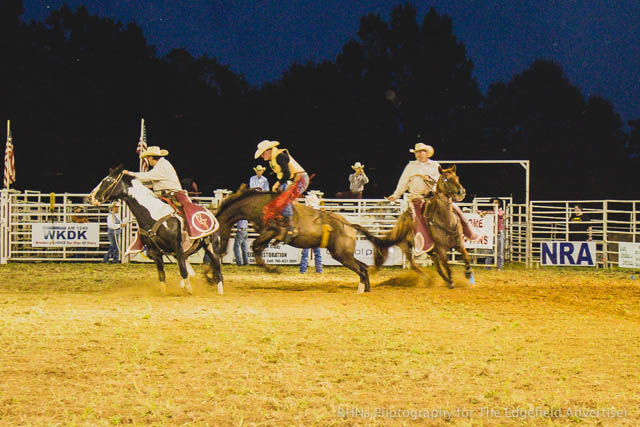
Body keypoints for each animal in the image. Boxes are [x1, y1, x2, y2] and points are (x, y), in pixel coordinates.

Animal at [87, 166, 222, 294]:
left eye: (107, 180)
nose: (90, 197)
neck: (153, 213)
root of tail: (211, 212)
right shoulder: (155, 251)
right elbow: (161, 275)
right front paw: (164, 292)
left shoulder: (177, 247)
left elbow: (183, 270)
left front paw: (189, 290)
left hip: (211, 247)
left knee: (217, 268)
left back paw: (219, 292)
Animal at [215, 186, 376, 292]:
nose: (220, 252)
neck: (259, 205)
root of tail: (348, 225)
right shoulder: (267, 234)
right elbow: (257, 249)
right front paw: (272, 268)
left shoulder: (271, 231)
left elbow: (255, 246)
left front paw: (274, 269)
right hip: (344, 254)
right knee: (363, 267)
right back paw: (366, 289)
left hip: (342, 254)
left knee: (361, 270)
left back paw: (363, 290)